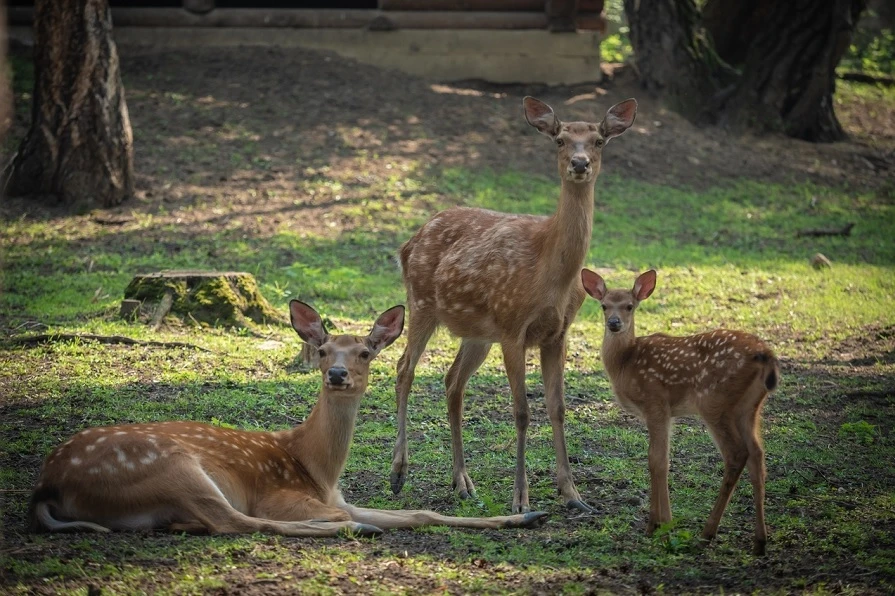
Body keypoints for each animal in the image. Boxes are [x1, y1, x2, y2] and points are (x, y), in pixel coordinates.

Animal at [27, 301, 548, 537]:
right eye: (321, 350)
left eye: (364, 352)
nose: (337, 373)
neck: (316, 464)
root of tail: (48, 483)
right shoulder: (283, 495)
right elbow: (324, 513)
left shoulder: (340, 494)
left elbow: (419, 512)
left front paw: (526, 513)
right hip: (173, 467)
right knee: (238, 522)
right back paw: (355, 530)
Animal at [389, 96, 638, 514]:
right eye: (559, 139)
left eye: (599, 140)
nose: (579, 163)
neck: (550, 274)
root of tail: (408, 243)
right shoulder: (511, 327)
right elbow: (521, 411)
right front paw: (521, 499)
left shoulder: (558, 334)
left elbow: (557, 408)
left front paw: (573, 494)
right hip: (421, 301)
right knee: (405, 368)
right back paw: (398, 473)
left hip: (476, 333)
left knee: (452, 381)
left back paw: (463, 482)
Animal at [580, 268, 778, 555]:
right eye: (604, 306)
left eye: (630, 306)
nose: (614, 323)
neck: (625, 363)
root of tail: (766, 354)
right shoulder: (666, 413)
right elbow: (657, 459)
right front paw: (657, 524)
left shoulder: (656, 402)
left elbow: (657, 461)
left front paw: (661, 526)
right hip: (749, 407)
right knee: (758, 456)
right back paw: (760, 542)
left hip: (714, 402)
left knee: (736, 454)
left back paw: (707, 533)